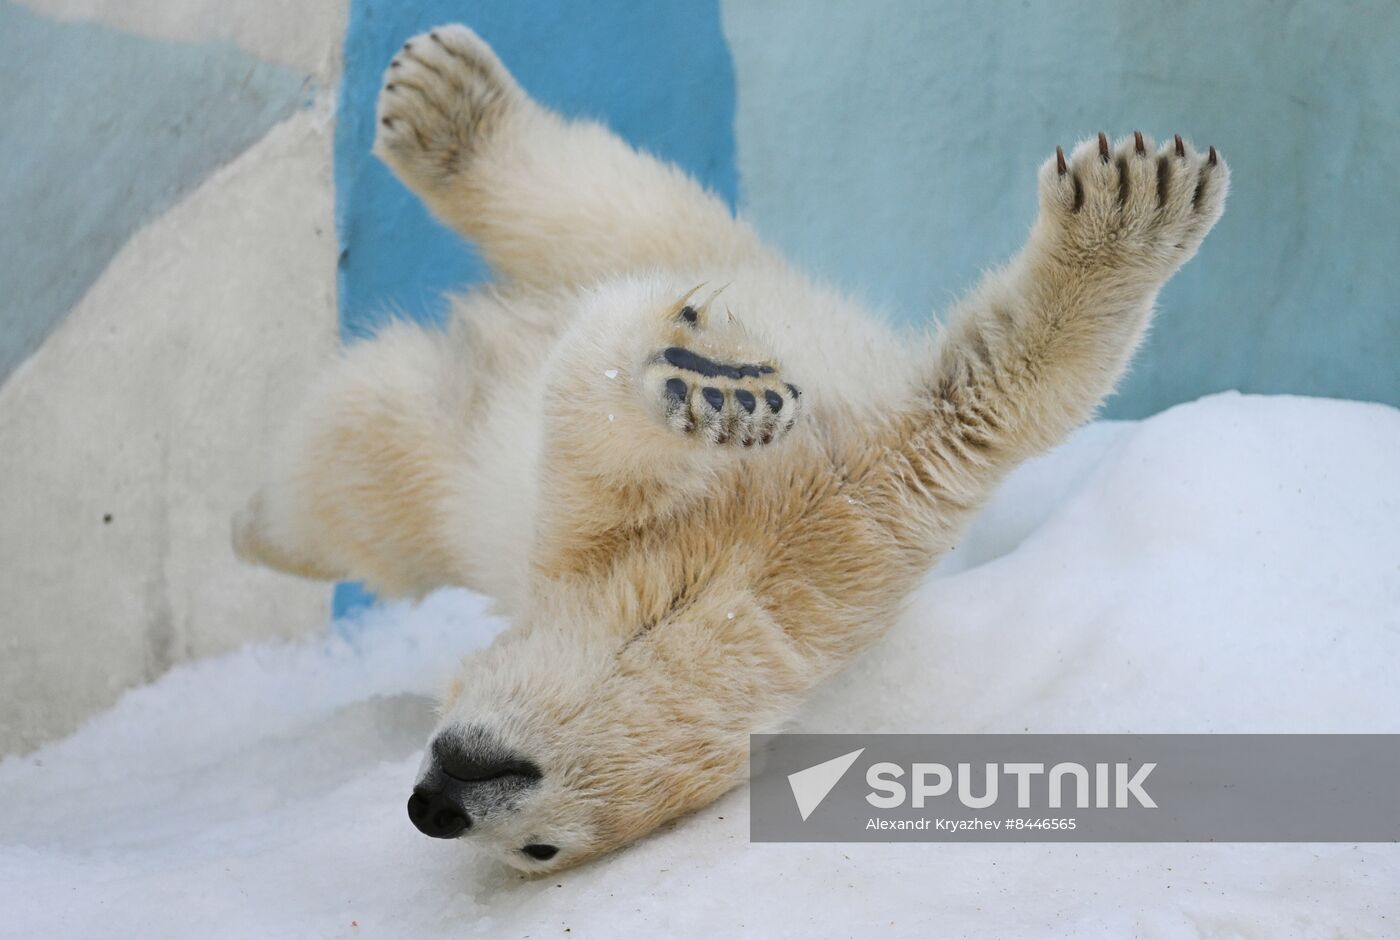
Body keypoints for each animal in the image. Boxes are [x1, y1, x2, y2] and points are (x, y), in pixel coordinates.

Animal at [235, 23, 1232, 874]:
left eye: (539, 852)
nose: (429, 806)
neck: (734, 566)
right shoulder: (616, 538)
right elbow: (592, 431)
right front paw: (716, 390)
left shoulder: (873, 501)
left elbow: (986, 390)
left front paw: (1128, 215)